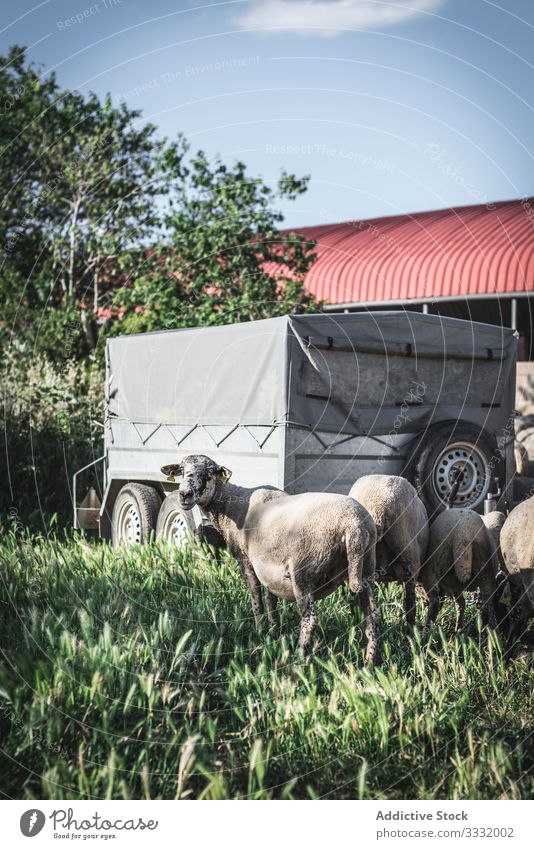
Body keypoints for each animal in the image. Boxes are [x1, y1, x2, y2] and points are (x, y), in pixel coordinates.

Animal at [161, 450, 378, 664]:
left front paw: (260, 630)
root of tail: (353, 524)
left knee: (310, 618)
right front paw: (273, 631)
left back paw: (299, 657)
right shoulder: (268, 568)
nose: (184, 494)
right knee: (372, 615)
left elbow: (256, 599)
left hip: (303, 572)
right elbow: (270, 600)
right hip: (366, 568)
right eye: (182, 470)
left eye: (208, 473)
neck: (229, 507)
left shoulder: (246, 562)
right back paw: (369, 662)